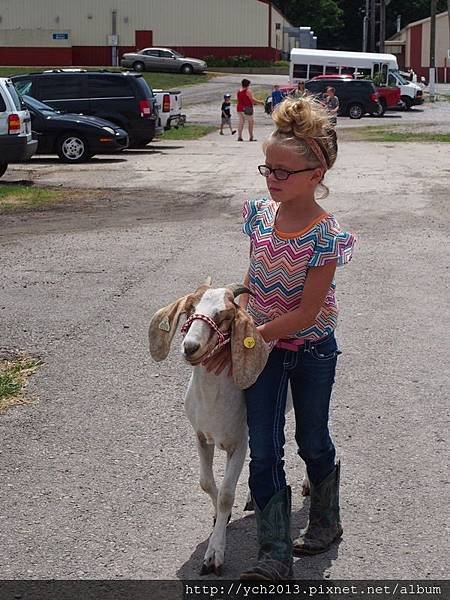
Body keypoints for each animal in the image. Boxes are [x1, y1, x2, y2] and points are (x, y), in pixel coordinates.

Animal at [149, 282, 308, 576]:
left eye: (223, 315)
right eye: (190, 309)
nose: (190, 347)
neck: (214, 398)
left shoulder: (239, 443)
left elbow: (225, 494)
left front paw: (214, 555)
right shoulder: (203, 437)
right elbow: (207, 483)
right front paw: (219, 517)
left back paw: (307, 484)